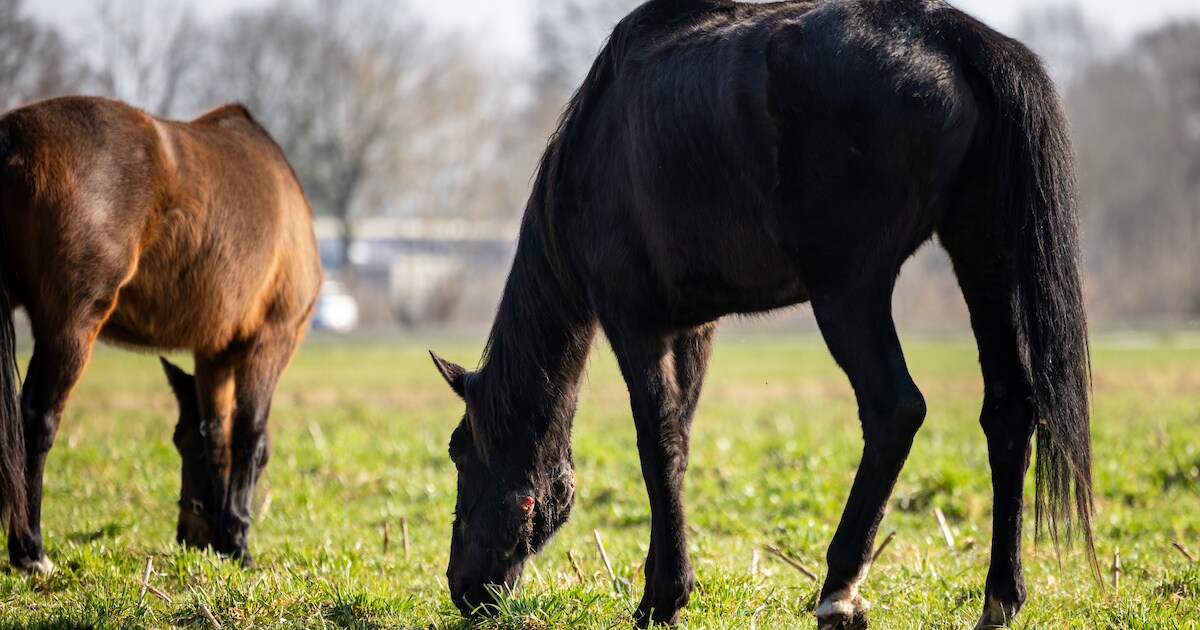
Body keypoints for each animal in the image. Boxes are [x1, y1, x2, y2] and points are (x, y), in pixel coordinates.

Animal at [0, 95, 322, 571]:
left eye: (179, 440)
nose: (191, 536)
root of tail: (13, 138)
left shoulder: (213, 354)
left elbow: (219, 435)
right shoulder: (269, 342)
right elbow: (249, 434)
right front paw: (239, 543)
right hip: (71, 325)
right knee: (37, 422)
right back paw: (30, 550)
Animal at [430, 1, 1095, 628]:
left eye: (459, 451)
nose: (465, 591)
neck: (598, 144)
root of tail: (949, 32)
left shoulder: (632, 320)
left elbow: (656, 441)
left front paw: (661, 599)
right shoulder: (691, 328)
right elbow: (680, 440)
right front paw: (661, 588)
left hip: (850, 289)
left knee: (895, 411)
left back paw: (839, 589)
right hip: (981, 251)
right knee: (1008, 410)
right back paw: (999, 597)